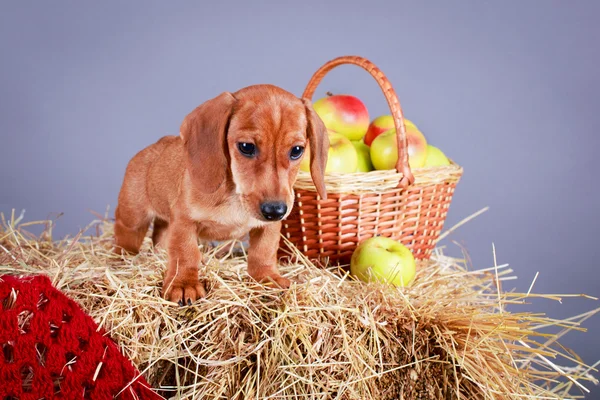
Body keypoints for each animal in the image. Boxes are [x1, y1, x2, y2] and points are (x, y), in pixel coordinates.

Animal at [112, 83, 328, 304]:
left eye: (297, 150)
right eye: (246, 147)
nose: (275, 210)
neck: (234, 194)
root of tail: (151, 148)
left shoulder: (268, 227)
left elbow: (263, 252)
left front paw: (267, 278)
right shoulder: (183, 221)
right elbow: (185, 253)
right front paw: (184, 283)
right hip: (133, 219)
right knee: (124, 236)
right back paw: (120, 261)